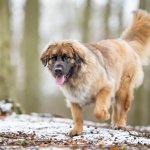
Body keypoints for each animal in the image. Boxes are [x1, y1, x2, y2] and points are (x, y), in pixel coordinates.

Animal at [40, 9, 150, 137]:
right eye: (53, 58)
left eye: (67, 57)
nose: (58, 70)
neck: (77, 77)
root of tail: (124, 42)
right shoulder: (73, 99)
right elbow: (77, 117)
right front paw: (76, 130)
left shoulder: (106, 87)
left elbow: (98, 111)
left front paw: (105, 115)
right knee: (116, 108)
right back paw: (115, 123)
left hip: (123, 89)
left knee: (122, 109)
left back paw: (120, 124)